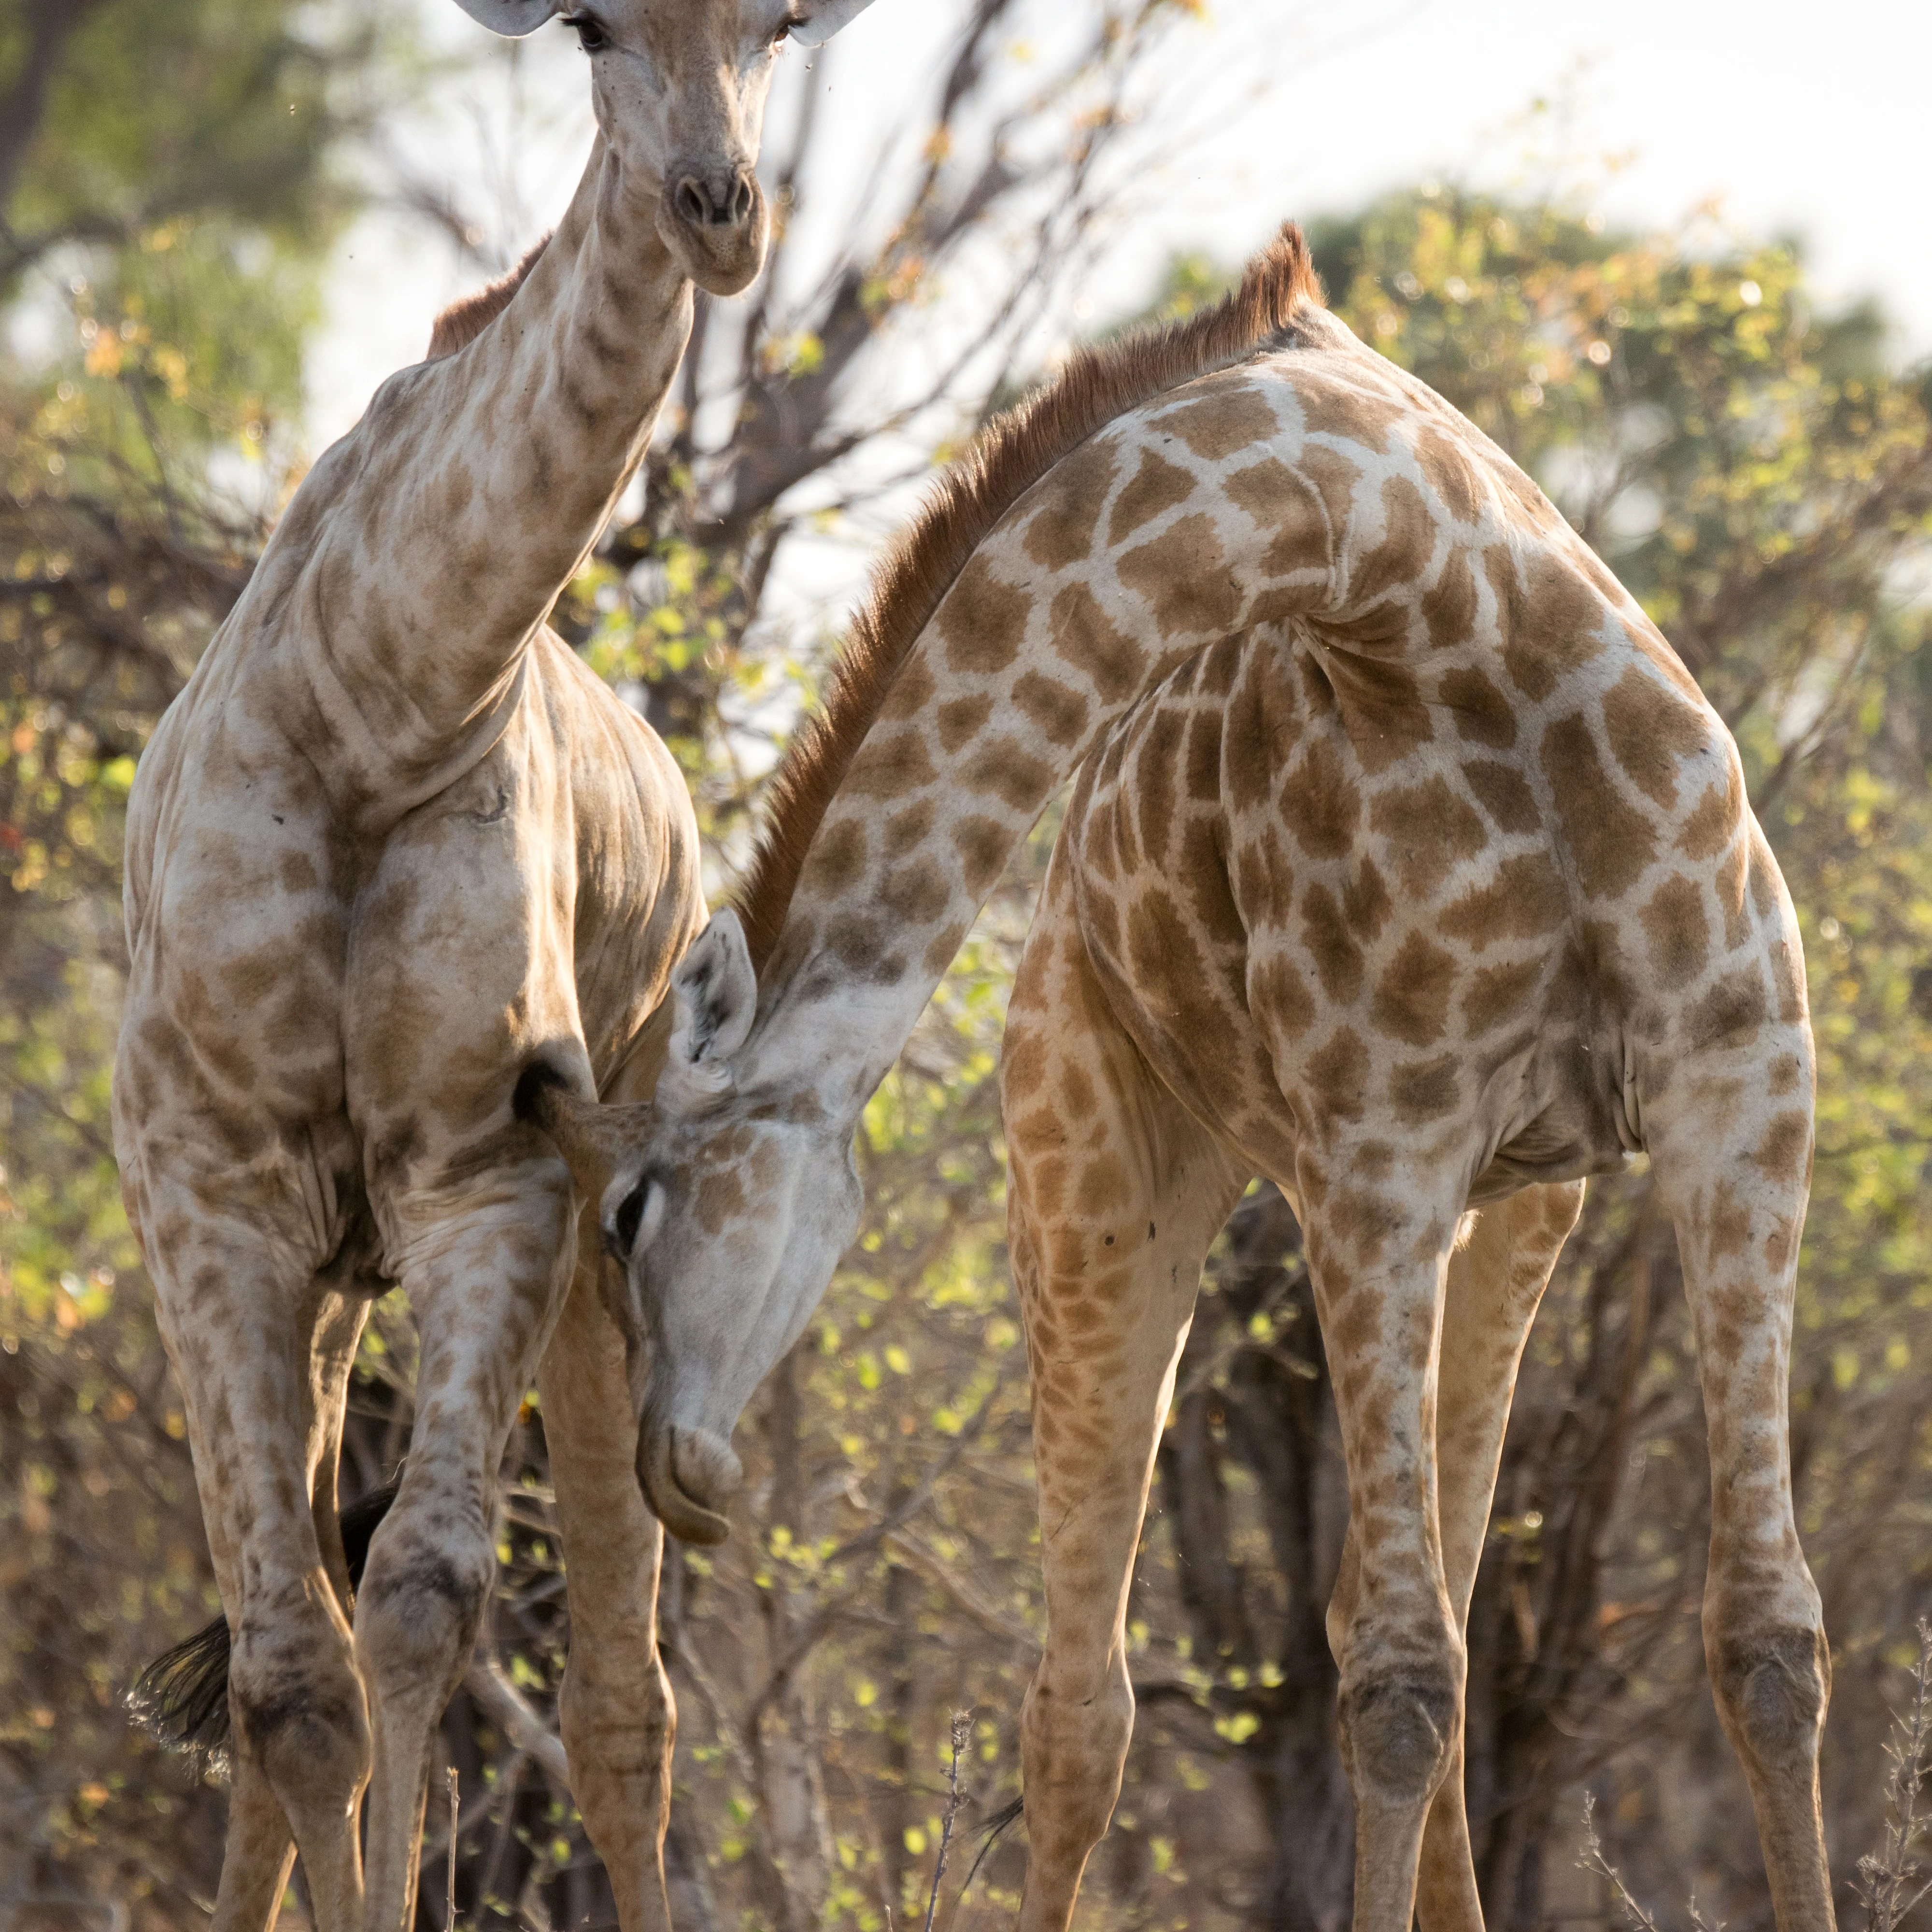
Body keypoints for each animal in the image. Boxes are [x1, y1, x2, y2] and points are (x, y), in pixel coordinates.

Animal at [110, 3, 878, 1928]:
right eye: (595, 26)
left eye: (777, 22)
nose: (720, 208)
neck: (380, 694)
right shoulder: (209, 1182)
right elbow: (291, 1683)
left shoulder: (492, 1171)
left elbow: (418, 1605)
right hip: (321, 1288)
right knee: (280, 1651)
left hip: (606, 1259)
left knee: (622, 1694)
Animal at [522, 226, 1832, 1929]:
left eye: (628, 1212)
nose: (671, 1470)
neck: (1440, 598)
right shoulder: (1377, 1155)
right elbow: (1397, 1671)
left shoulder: (1739, 1088)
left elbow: (1765, 1634)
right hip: (1092, 1195)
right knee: (1088, 1703)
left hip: (1516, 1213)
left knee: (1424, 1607)